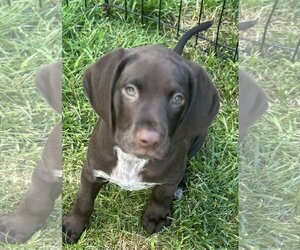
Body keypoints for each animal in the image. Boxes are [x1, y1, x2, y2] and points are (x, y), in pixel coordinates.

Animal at [62, 20, 219, 243]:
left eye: (178, 99)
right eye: (130, 90)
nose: (149, 140)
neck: (132, 159)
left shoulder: (168, 179)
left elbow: (161, 196)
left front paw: (155, 217)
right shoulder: (91, 171)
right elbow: (84, 201)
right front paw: (73, 225)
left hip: (199, 138)